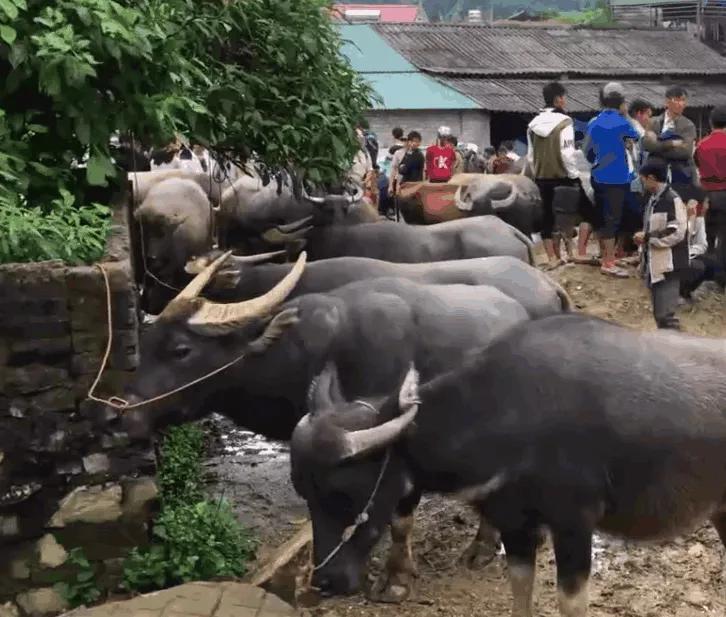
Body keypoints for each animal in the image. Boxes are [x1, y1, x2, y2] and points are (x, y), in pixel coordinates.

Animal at [109, 253, 556, 600]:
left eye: (181, 350)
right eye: (147, 340)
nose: (118, 414)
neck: (317, 347)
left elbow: (400, 517)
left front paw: (395, 579)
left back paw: (483, 547)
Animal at [292, 312, 726, 612]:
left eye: (344, 492)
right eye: (304, 493)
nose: (325, 581)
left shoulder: (574, 524)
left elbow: (570, 603)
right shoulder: (515, 524)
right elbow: (521, 592)